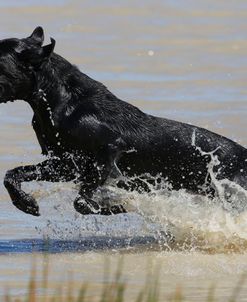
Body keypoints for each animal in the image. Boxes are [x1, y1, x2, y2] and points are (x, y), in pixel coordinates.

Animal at [1, 27, 247, 216]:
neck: (57, 101)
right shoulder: (65, 164)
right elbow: (12, 175)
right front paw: (26, 203)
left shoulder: (108, 149)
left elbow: (82, 201)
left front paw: (115, 206)